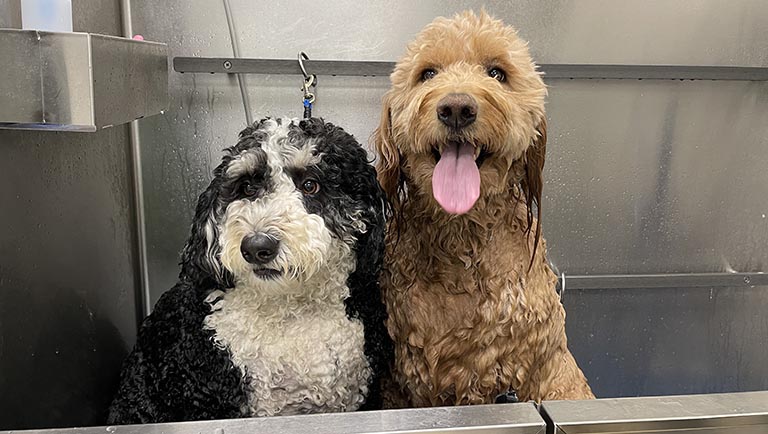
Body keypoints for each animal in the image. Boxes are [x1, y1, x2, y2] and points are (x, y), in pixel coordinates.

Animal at [376, 8, 596, 406]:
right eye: (427, 73)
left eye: (497, 73)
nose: (456, 108)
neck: (463, 241)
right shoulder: (413, 378)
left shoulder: (533, 360)